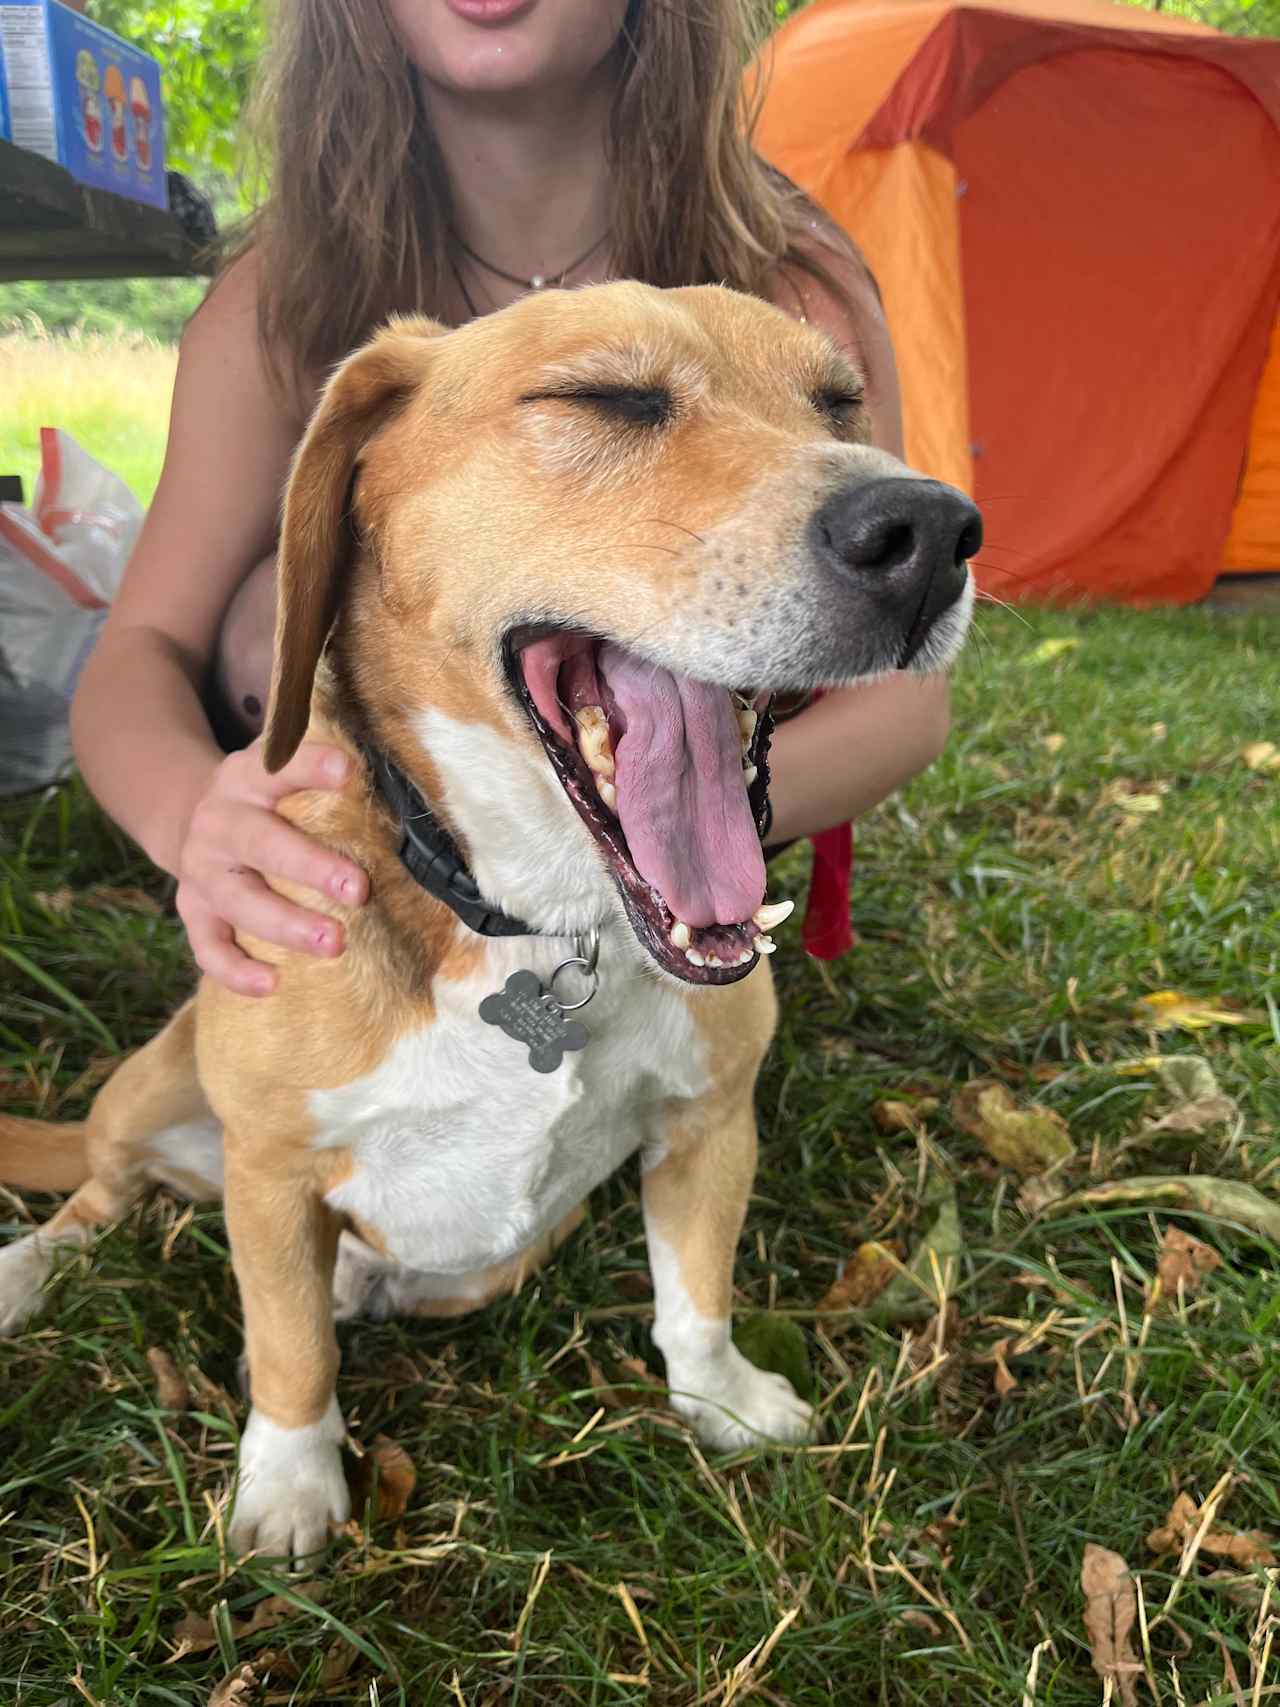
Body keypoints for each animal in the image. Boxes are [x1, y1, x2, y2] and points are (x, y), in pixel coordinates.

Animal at [0, 286, 976, 1563]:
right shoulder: (270, 1171)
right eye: (603, 396)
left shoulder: (709, 1124)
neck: (539, 922)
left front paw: (718, 1401)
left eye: (838, 401)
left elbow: (695, 1298)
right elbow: (288, 1350)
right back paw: (26, 1273)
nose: (932, 532)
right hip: (148, 1089)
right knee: (99, 1197)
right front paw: (290, 1484)